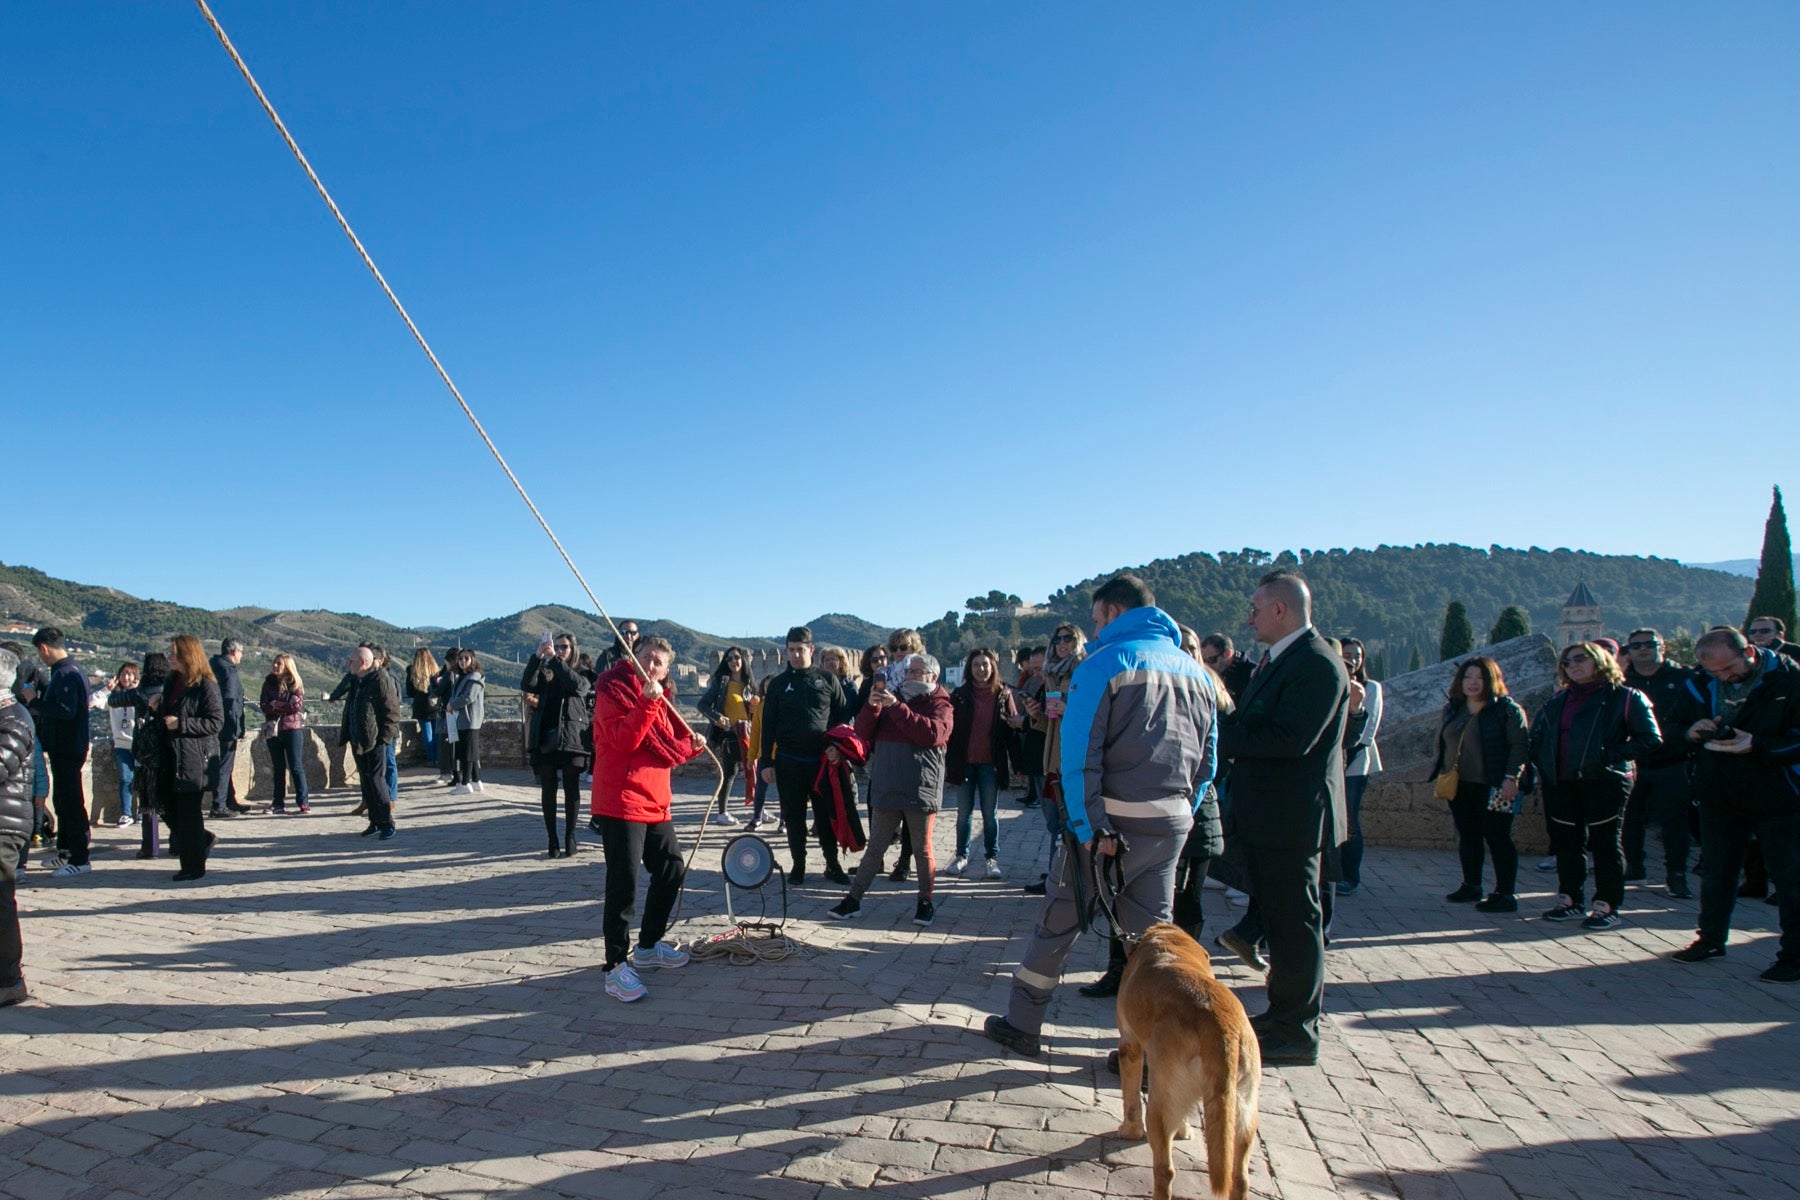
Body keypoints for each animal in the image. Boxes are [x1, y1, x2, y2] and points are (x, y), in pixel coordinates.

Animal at [1116, 928, 1260, 1194]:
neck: (1169, 939)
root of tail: (1219, 1024)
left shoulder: (1130, 1045)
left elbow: (1131, 1100)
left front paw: (1129, 1131)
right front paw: (1184, 1131)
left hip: (1160, 1104)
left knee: (1165, 1170)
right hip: (1244, 1111)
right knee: (1240, 1178)